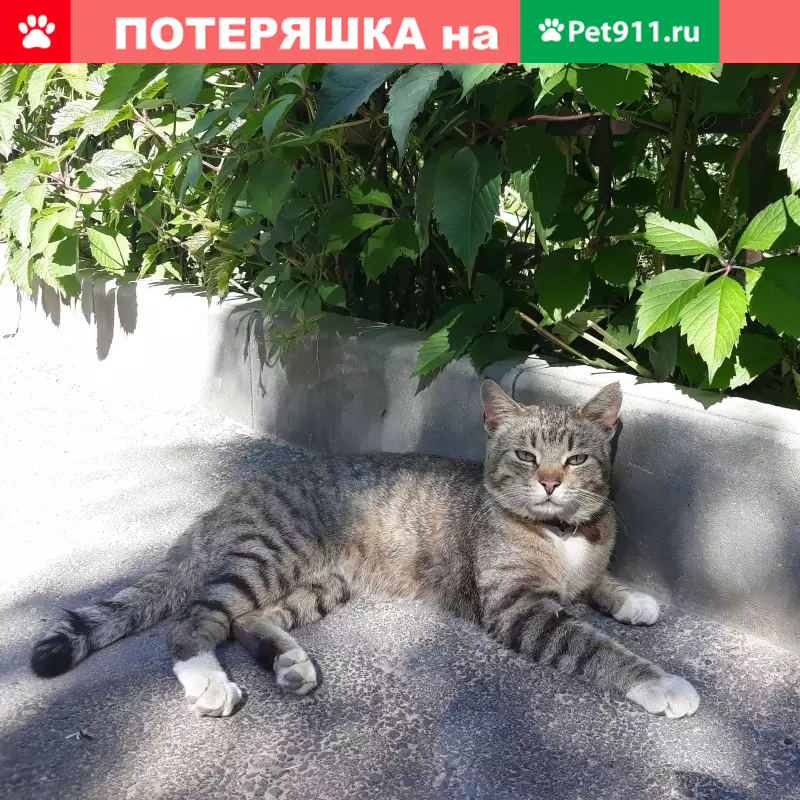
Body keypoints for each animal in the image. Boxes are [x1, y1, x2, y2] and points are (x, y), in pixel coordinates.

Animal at [31, 380, 699, 719]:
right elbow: (593, 646)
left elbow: (597, 582)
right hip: (267, 556)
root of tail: (228, 499)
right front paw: (661, 682)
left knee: (249, 620)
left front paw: (628, 596)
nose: (552, 482)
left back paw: (289, 662)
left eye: (578, 457)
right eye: (526, 455)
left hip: (321, 583)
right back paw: (206, 680)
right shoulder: (520, 608)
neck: (561, 535)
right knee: (197, 619)